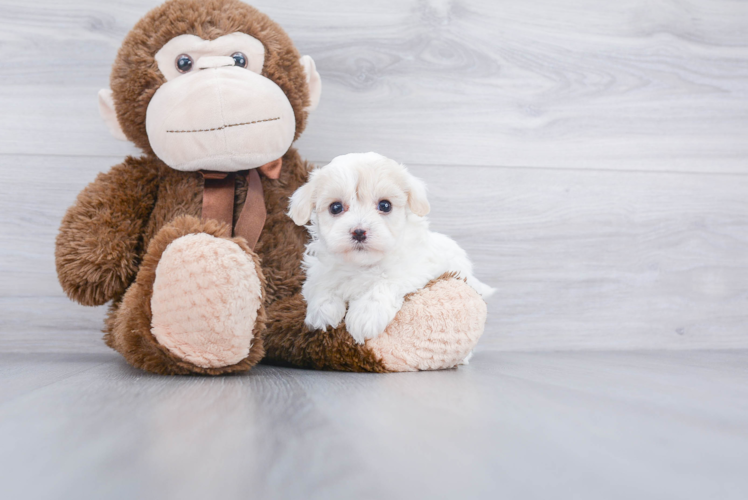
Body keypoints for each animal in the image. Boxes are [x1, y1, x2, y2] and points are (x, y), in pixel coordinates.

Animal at [290, 151, 494, 344]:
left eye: (385, 205)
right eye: (335, 207)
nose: (359, 232)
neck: (363, 265)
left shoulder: (416, 268)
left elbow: (384, 282)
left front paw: (365, 315)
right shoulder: (320, 270)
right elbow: (321, 285)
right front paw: (322, 313)